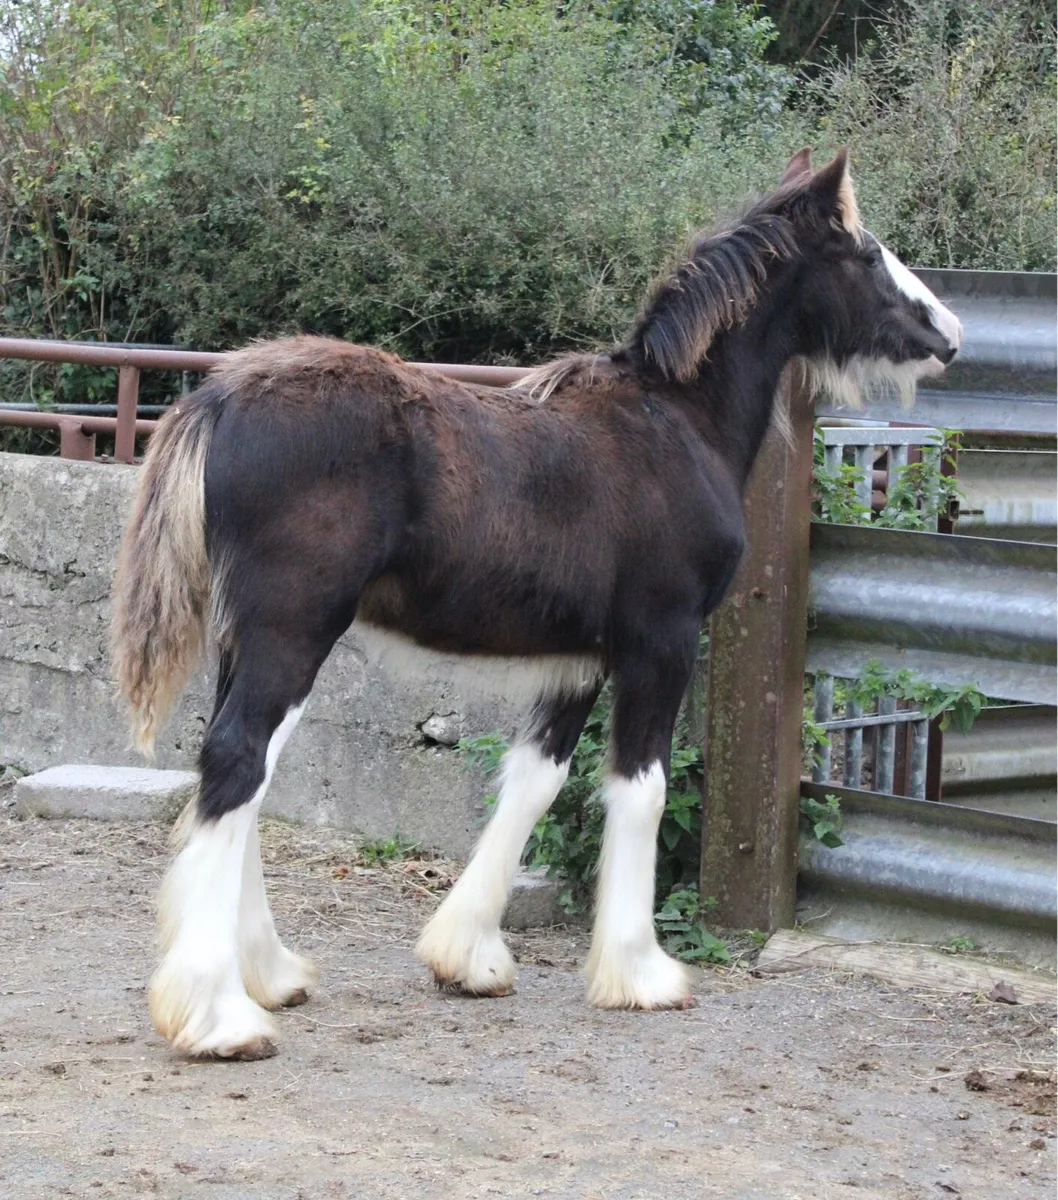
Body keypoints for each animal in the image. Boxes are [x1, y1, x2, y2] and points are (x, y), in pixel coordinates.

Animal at [111, 147, 962, 1060]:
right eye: (865, 252)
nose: (949, 335)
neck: (676, 420)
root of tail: (218, 398)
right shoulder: (661, 643)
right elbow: (640, 788)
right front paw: (640, 972)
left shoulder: (576, 660)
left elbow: (534, 781)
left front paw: (468, 956)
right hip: (293, 632)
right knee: (238, 760)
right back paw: (219, 1015)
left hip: (249, 639)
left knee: (241, 772)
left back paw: (270, 974)